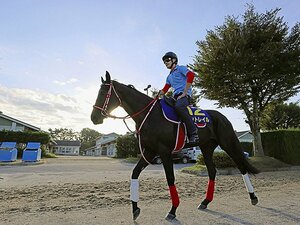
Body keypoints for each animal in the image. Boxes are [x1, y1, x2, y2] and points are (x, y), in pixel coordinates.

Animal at [90, 71, 258, 221]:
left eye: (103, 93)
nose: (94, 117)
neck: (150, 115)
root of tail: (222, 117)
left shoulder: (164, 152)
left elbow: (170, 178)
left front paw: (173, 210)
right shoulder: (150, 151)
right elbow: (135, 173)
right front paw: (135, 209)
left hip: (227, 144)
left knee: (241, 167)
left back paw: (253, 197)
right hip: (207, 148)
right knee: (212, 171)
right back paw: (205, 202)